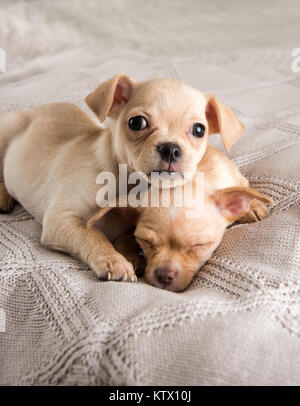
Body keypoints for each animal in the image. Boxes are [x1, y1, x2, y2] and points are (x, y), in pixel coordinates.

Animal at [0, 73, 244, 282]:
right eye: (137, 123)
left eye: (199, 130)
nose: (170, 148)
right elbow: (91, 234)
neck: (127, 182)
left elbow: (125, 236)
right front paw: (114, 261)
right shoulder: (61, 220)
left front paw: (131, 255)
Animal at [89, 146, 274, 292]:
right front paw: (131, 255)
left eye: (199, 245)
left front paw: (253, 206)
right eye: (146, 241)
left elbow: (243, 188)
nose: (164, 275)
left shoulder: (236, 178)